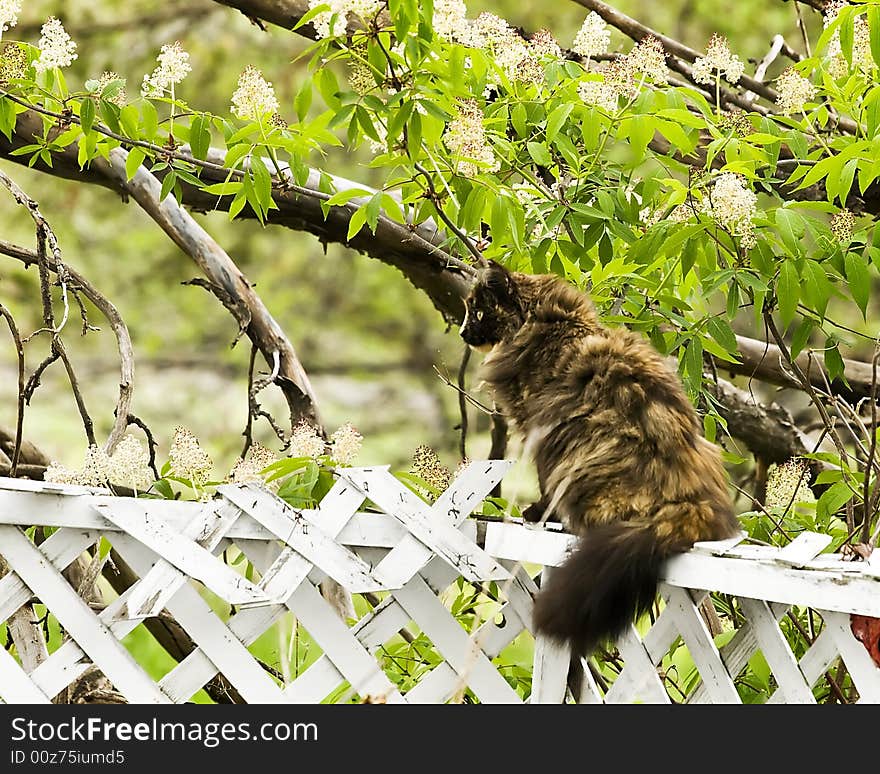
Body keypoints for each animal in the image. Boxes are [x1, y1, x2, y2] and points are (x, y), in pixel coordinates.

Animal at [458, 264, 740, 656]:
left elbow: (545, 487)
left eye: (479, 311)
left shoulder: (539, 429)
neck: (549, 325)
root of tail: (691, 502)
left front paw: (538, 514)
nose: (462, 332)